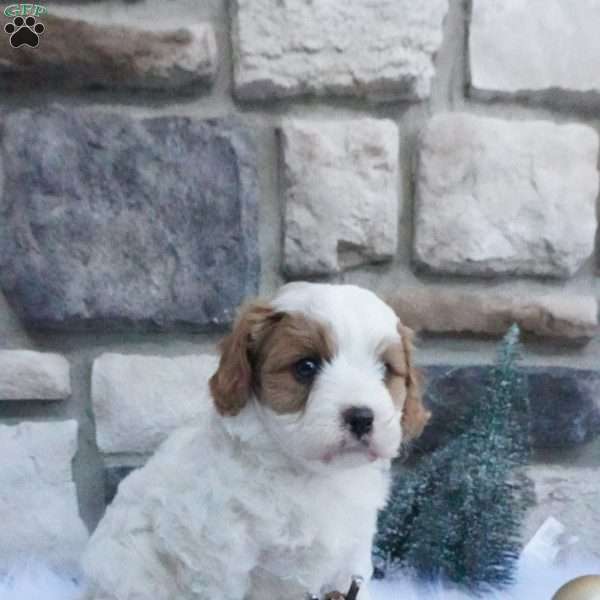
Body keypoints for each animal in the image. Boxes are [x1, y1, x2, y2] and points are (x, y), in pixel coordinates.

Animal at [83, 282, 432, 600]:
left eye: (385, 369)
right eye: (306, 367)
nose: (361, 417)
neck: (311, 476)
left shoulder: (348, 563)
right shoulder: (220, 559)